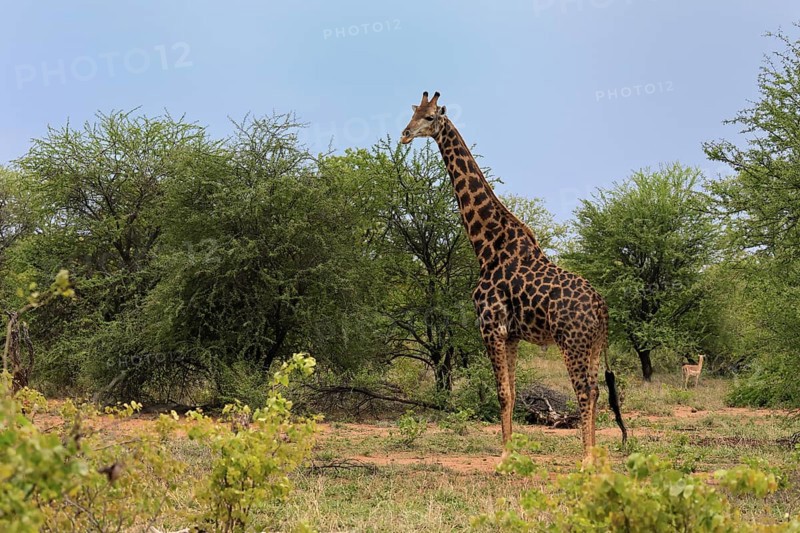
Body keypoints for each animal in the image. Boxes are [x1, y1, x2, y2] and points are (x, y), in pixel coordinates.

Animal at [400, 91, 627, 460]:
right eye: (414, 112)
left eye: (431, 117)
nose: (405, 134)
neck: (487, 247)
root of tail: (602, 308)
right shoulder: (512, 335)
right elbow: (513, 392)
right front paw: (512, 452)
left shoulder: (491, 326)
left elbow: (502, 393)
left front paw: (504, 456)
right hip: (593, 346)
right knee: (596, 392)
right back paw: (593, 456)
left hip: (573, 343)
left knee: (585, 392)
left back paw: (587, 460)